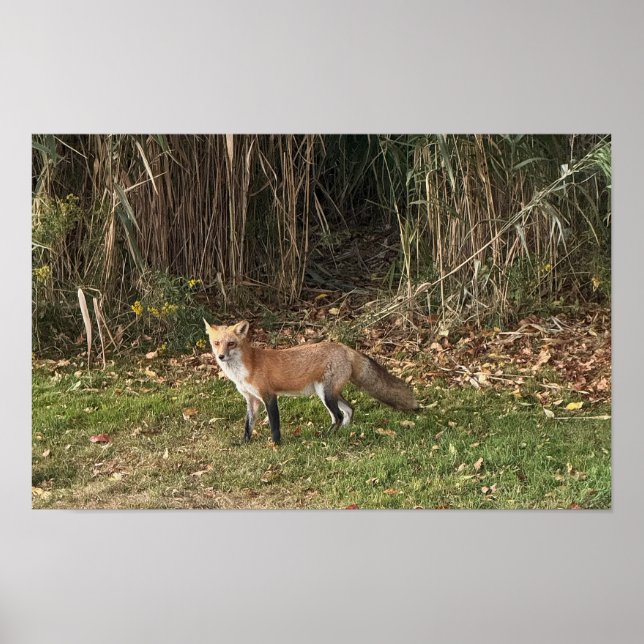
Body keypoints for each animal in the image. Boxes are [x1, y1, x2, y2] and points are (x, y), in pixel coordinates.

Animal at [203, 319, 419, 444]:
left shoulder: (269, 396)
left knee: (337, 415)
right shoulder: (251, 399)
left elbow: (274, 425)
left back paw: (327, 436)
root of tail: (345, 347)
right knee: (349, 409)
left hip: (325, 393)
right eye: (216, 343)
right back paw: (342, 433)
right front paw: (244, 443)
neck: (246, 368)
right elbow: (248, 426)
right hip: (327, 392)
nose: (221, 356)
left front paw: (276, 445)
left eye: (231, 343)